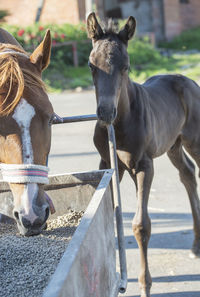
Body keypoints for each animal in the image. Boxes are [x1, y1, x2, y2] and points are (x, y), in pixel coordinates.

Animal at [87, 12, 200, 296]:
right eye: (91, 65)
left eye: (126, 66)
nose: (106, 113)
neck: (121, 123)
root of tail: (189, 80)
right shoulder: (108, 165)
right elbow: (111, 217)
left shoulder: (143, 166)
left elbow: (141, 224)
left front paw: (145, 285)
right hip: (173, 144)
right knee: (187, 175)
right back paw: (195, 245)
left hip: (194, 140)